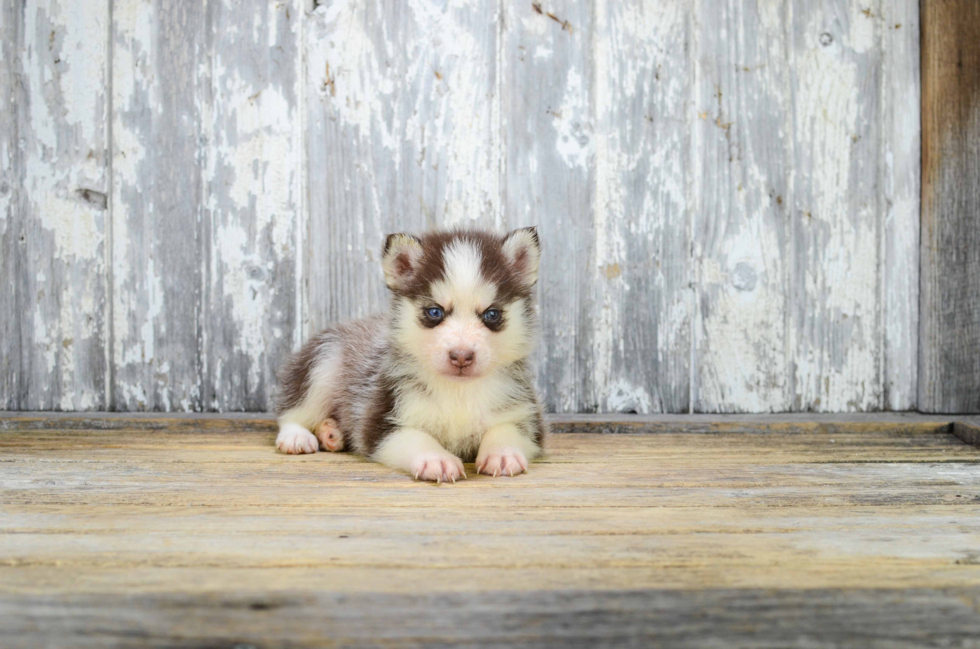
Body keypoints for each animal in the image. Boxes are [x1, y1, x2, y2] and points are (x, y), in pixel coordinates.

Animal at [274, 228, 544, 480]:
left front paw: (502, 453)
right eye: (434, 312)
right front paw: (436, 459)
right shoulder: (382, 420)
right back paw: (297, 436)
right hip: (323, 362)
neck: (457, 392)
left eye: (492, 314)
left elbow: (506, 429)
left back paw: (332, 433)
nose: (461, 356)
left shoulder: (526, 415)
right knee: (293, 410)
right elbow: (417, 437)